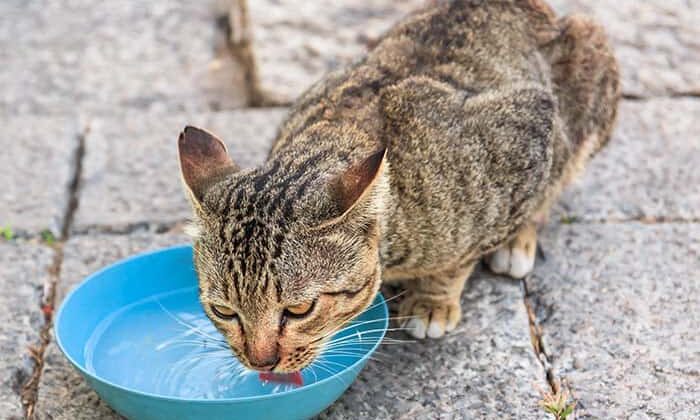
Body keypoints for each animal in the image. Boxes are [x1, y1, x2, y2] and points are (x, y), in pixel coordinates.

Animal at [179, 0, 616, 370]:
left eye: (299, 310)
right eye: (224, 311)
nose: (261, 363)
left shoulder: (527, 135)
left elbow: (459, 258)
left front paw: (433, 299)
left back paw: (517, 241)